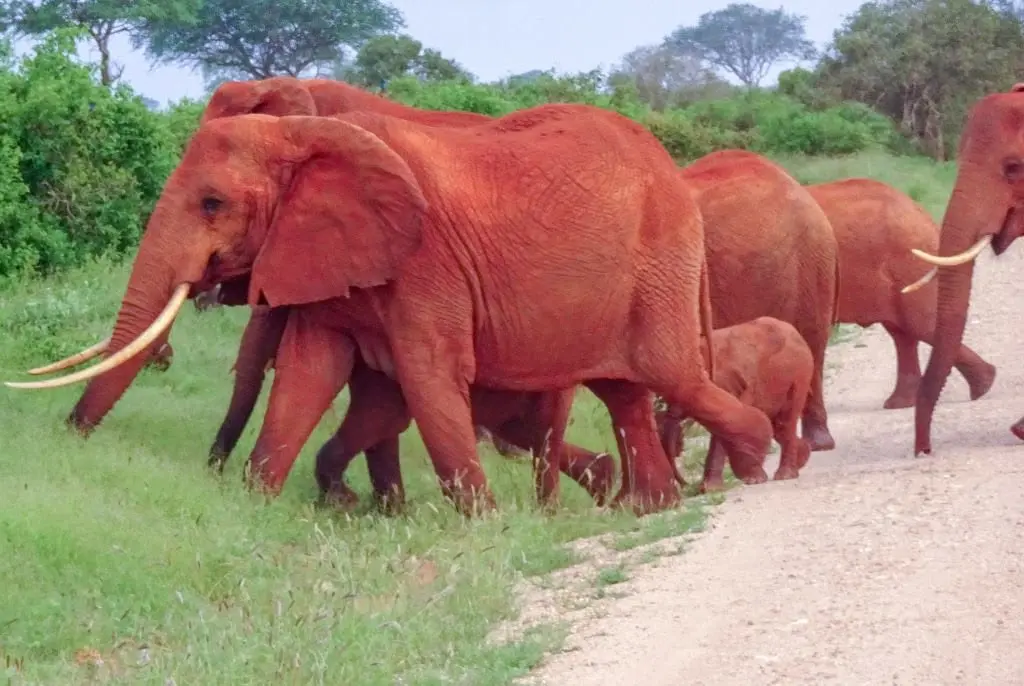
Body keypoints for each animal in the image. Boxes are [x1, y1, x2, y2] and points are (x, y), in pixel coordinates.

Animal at [9, 103, 774, 515]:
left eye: (212, 203)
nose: (70, 436)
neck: (305, 132)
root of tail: (670, 165)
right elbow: (310, 374)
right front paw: (265, 500)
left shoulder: (427, 262)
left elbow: (430, 376)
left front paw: (483, 523)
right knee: (626, 392)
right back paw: (652, 504)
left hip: (662, 261)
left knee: (672, 376)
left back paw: (757, 463)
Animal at [657, 316, 814, 492]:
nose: (689, 487)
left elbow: (725, 427)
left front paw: (714, 488)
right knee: (776, 427)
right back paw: (802, 457)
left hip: (800, 372)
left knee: (785, 421)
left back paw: (785, 475)